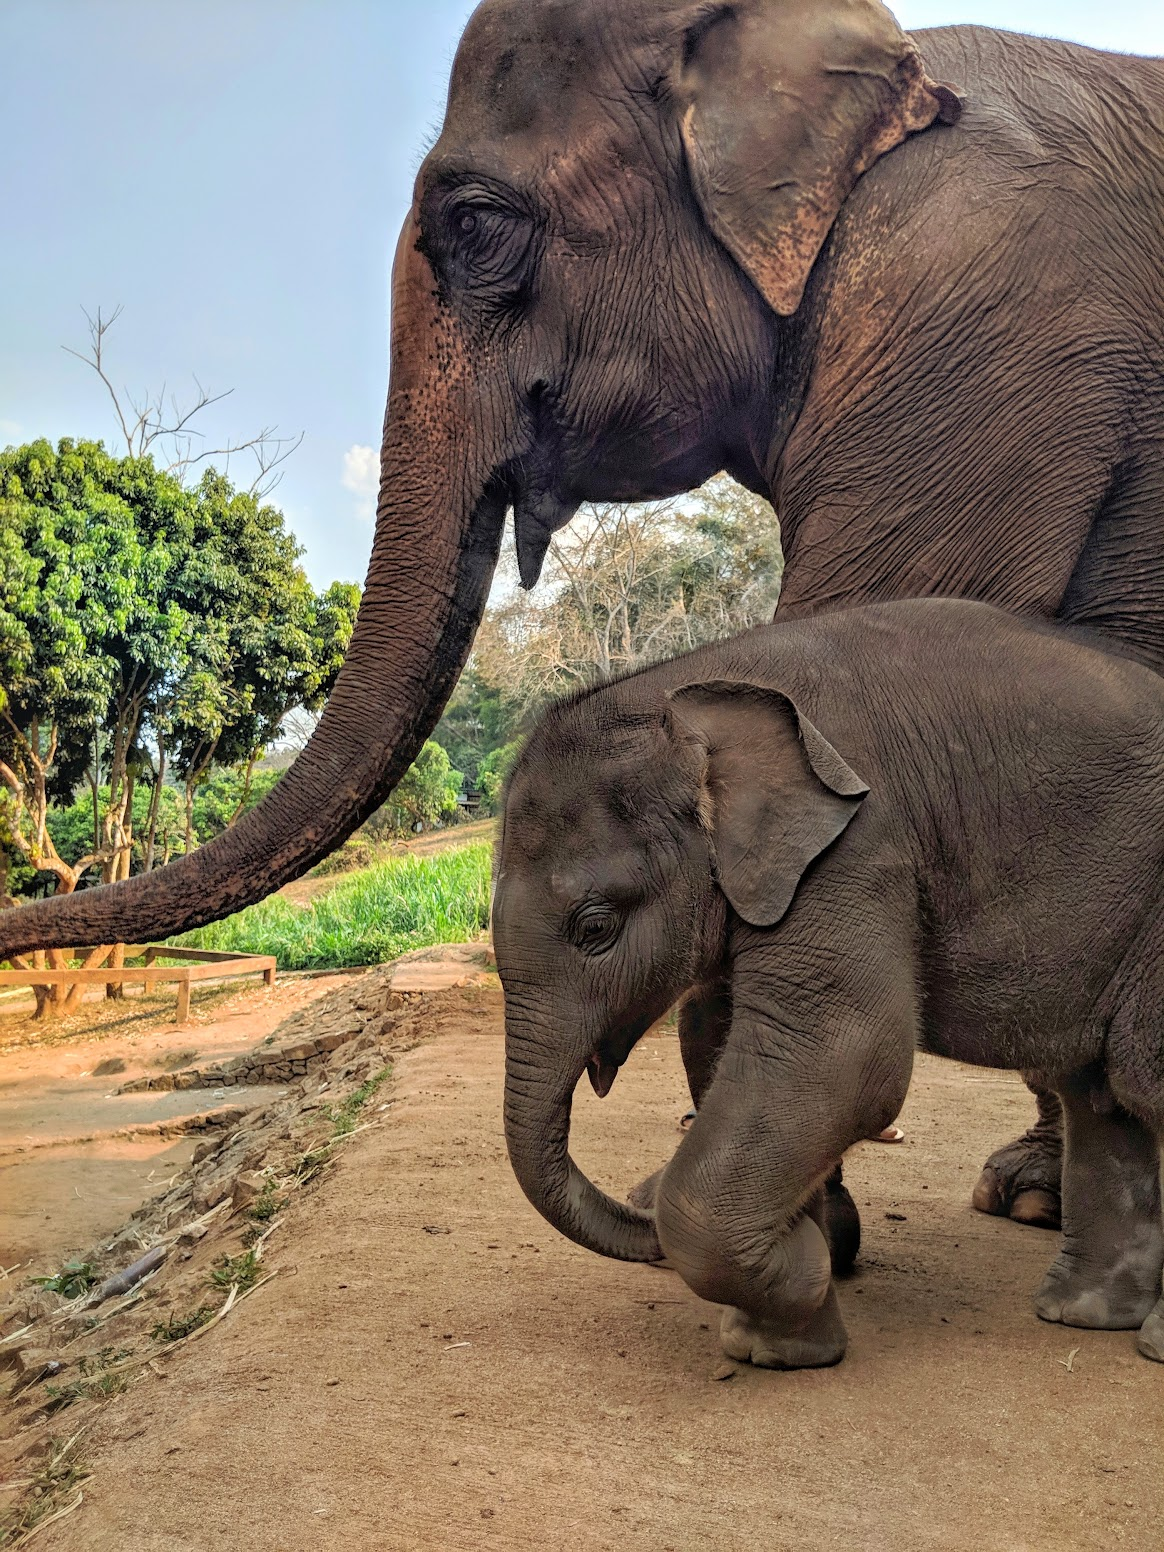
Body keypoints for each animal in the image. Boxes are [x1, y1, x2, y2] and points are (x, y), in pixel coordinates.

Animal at [492, 599, 1164, 1370]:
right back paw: (1081, 1317)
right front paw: (779, 1345)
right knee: (1100, 1093)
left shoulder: (857, 846)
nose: (639, 1208)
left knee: (1140, 1078)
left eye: (595, 927)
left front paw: (801, 1274)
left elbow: (844, 1060)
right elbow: (743, 1053)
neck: (687, 688)